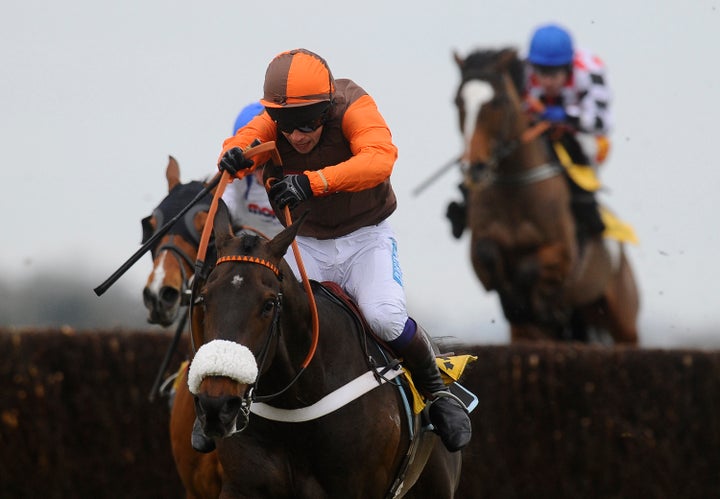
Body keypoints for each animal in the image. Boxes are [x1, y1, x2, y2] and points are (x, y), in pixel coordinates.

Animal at [452, 47, 640, 344]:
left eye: (499, 101)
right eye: (458, 101)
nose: (475, 167)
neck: (514, 191)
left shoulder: (563, 253)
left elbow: (530, 268)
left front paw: (531, 304)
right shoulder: (479, 253)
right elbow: (486, 252)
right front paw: (514, 303)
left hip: (623, 316)